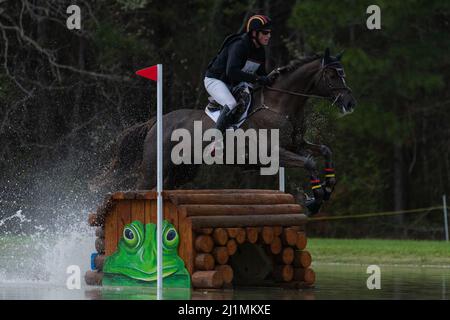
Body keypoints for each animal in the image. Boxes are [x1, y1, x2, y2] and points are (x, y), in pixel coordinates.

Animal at [90, 49, 356, 215]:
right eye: (332, 75)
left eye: (343, 73)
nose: (350, 103)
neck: (279, 104)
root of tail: (156, 122)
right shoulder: (273, 153)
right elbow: (310, 162)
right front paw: (315, 200)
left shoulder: (295, 145)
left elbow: (324, 151)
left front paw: (328, 188)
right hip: (153, 167)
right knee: (140, 188)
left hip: (183, 171)